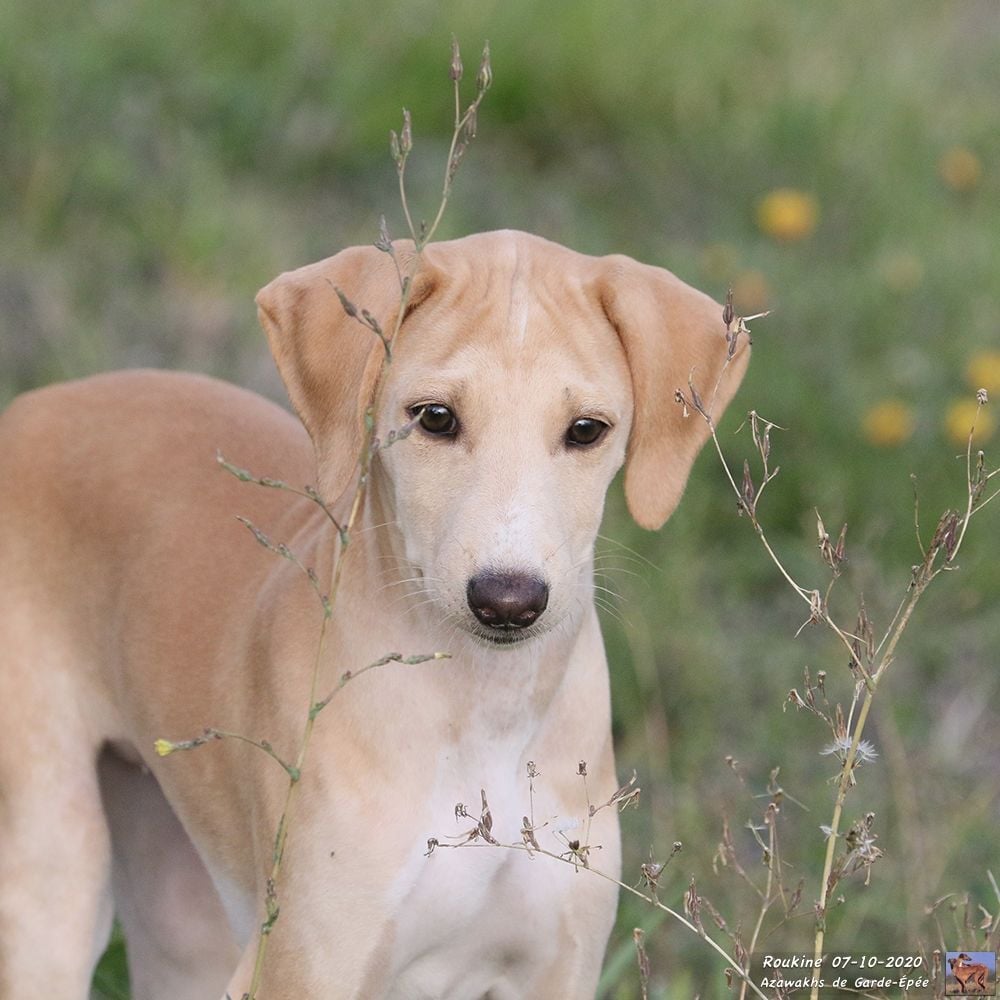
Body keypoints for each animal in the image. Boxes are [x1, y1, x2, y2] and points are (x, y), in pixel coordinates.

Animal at [0, 230, 748, 999]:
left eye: (587, 430)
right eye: (435, 417)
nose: (508, 601)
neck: (487, 716)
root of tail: (26, 408)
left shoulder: (559, 970)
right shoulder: (304, 969)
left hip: (178, 907)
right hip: (54, 882)